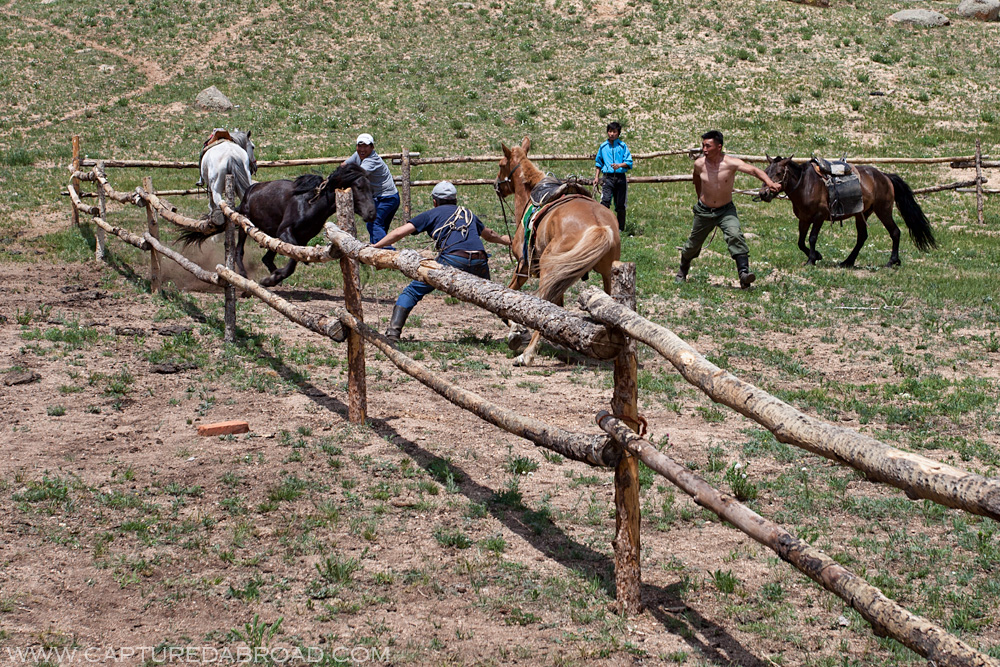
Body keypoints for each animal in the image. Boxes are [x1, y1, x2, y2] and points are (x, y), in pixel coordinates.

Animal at [179, 163, 376, 288]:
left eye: (371, 188)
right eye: (359, 187)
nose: (372, 213)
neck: (311, 203)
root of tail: (248, 193)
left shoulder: (301, 238)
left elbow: (293, 258)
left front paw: (273, 278)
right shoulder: (285, 232)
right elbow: (293, 259)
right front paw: (271, 279)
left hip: (271, 234)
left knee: (266, 258)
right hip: (245, 226)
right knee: (238, 251)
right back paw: (243, 275)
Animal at [496, 136, 621, 367]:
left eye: (501, 164)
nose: (496, 186)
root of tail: (599, 226)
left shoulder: (523, 266)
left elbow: (510, 293)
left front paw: (515, 329)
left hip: (549, 269)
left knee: (544, 304)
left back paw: (527, 355)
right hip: (607, 274)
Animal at [758, 156, 936, 268]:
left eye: (779, 173)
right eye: (766, 171)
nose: (764, 193)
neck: (805, 184)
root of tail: (884, 176)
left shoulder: (819, 217)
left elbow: (812, 238)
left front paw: (811, 260)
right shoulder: (804, 219)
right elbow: (801, 242)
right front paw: (817, 256)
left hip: (883, 210)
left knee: (895, 232)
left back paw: (892, 261)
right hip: (862, 214)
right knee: (862, 237)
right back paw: (848, 261)